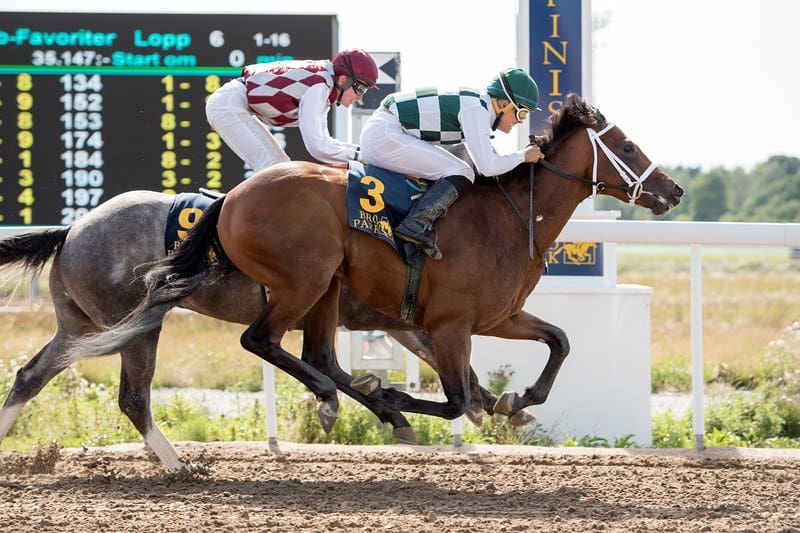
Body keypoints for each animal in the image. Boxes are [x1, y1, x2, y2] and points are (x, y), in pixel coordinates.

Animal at [0, 190, 500, 470]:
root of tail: (73, 227)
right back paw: (180, 466)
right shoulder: (392, 317)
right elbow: (440, 361)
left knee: (29, 376)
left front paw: (491, 404)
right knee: (133, 397)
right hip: (135, 325)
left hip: (82, 327)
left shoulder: (394, 321)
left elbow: (443, 362)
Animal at [73, 92, 680, 432]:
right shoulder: (449, 325)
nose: (672, 191)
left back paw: (344, 397)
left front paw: (520, 398)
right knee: (260, 340)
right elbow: (456, 401)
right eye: (627, 147)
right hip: (304, 280)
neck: (509, 218)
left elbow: (559, 339)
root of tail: (232, 198)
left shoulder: (497, 317)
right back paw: (340, 399)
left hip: (325, 288)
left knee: (313, 352)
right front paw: (392, 396)